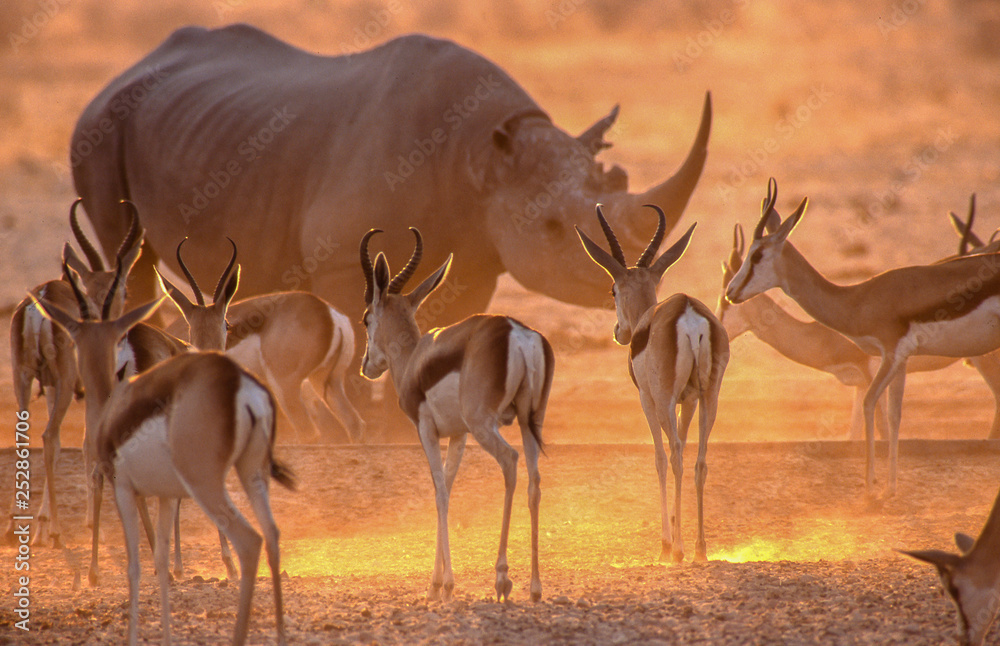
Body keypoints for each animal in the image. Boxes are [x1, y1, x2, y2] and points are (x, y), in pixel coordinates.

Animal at [71, 23, 710, 341]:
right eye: (553, 227)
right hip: (99, 127)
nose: (630, 288)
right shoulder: (339, 263)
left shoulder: (472, 262)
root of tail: (123, 72)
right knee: (130, 259)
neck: (481, 159)